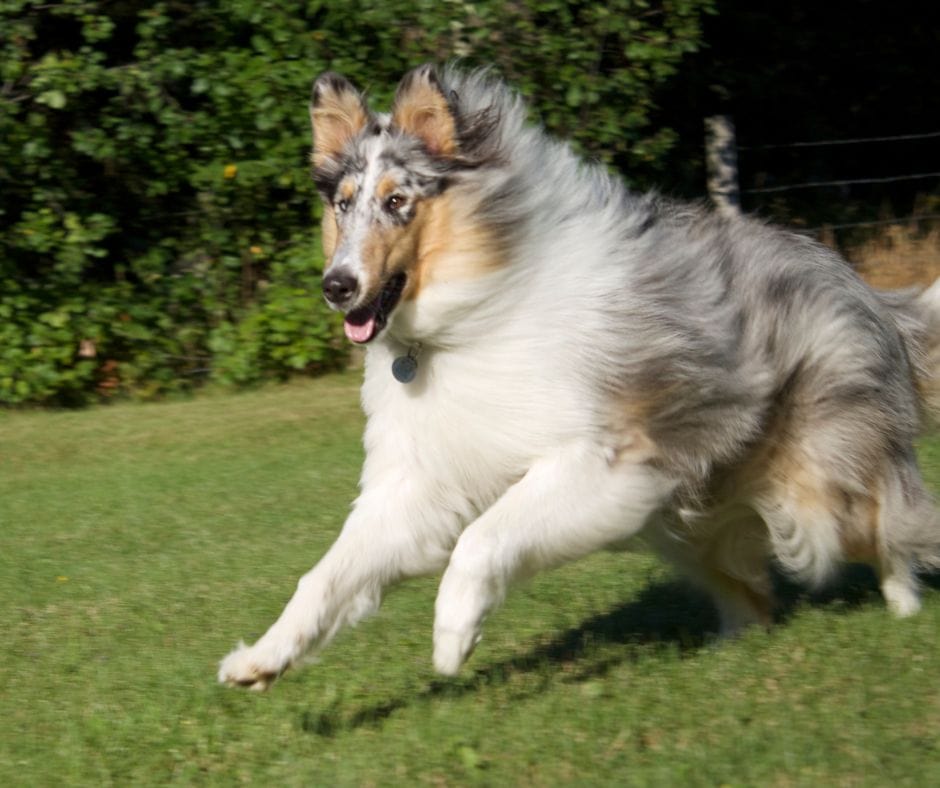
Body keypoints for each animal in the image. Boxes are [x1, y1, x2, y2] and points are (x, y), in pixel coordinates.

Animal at [218, 64, 940, 688]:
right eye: (342, 205)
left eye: (398, 201)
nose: (336, 286)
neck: (467, 321)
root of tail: (864, 288)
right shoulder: (417, 489)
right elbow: (327, 577)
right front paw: (260, 659)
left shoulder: (600, 459)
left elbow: (480, 540)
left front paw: (453, 638)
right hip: (695, 518)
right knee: (751, 592)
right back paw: (729, 651)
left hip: (815, 492)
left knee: (895, 528)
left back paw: (904, 615)